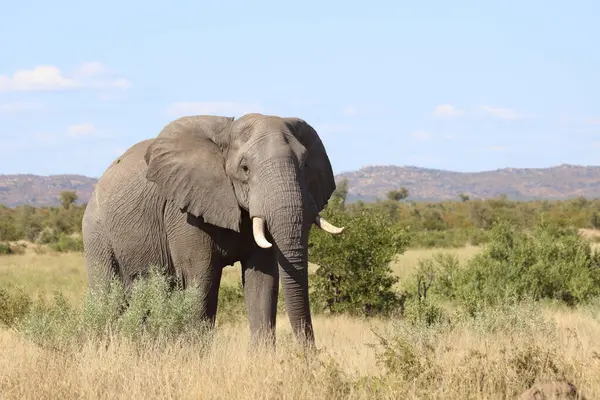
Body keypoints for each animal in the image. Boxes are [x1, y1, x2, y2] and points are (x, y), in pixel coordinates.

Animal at [81, 111, 344, 346]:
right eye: (245, 168)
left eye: (305, 164)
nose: (309, 355)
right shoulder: (183, 211)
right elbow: (201, 279)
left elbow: (263, 280)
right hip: (96, 231)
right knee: (107, 294)